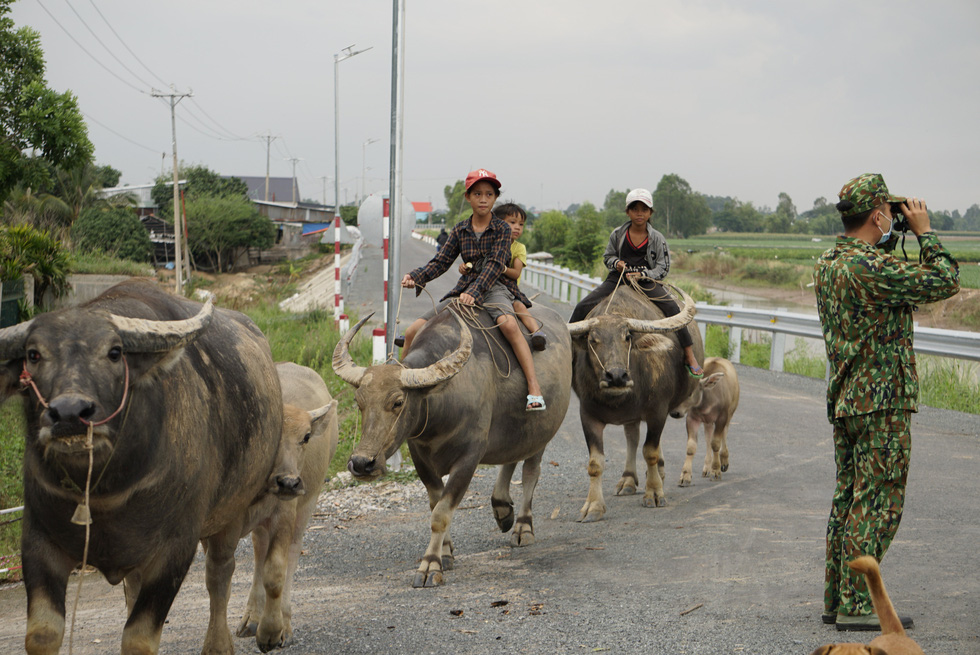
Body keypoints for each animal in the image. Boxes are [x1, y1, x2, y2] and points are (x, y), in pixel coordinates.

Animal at [0, 280, 284, 655]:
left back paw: (222, 642)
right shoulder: (38, 541)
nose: (70, 413)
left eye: (114, 352)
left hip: (231, 512)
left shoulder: (175, 548)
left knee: (219, 573)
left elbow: (139, 637)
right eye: (33, 355)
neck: (103, 491)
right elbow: (42, 634)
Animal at [237, 364, 340, 652]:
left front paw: (273, 631)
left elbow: (275, 571)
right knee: (259, 551)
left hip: (307, 502)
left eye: (306, 437)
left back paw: (282, 621)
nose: (289, 482)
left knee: (291, 552)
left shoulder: (284, 513)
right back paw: (252, 617)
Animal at [334, 304, 572, 588]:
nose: (361, 463)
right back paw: (502, 508)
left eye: (398, 402)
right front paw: (446, 553)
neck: (442, 404)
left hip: (542, 433)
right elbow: (435, 503)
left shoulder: (469, 458)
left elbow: (441, 513)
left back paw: (523, 526)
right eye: (359, 401)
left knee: (530, 474)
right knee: (511, 456)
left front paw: (430, 565)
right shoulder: (420, 457)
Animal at [572, 284, 700, 520]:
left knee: (648, 444)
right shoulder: (587, 415)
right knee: (632, 437)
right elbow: (595, 463)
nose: (616, 376)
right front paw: (593, 506)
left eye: (627, 337)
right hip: (630, 417)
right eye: (592, 340)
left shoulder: (657, 412)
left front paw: (655, 493)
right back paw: (628, 480)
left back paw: (658, 473)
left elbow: (650, 451)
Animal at [668, 358, 740, 486]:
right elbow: (691, 446)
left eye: (690, 392)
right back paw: (707, 468)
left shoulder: (722, 418)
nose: (674, 413)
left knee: (724, 434)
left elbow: (716, 443)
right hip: (708, 422)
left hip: (730, 413)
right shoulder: (692, 418)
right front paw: (685, 475)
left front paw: (716, 471)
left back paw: (724, 462)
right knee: (708, 438)